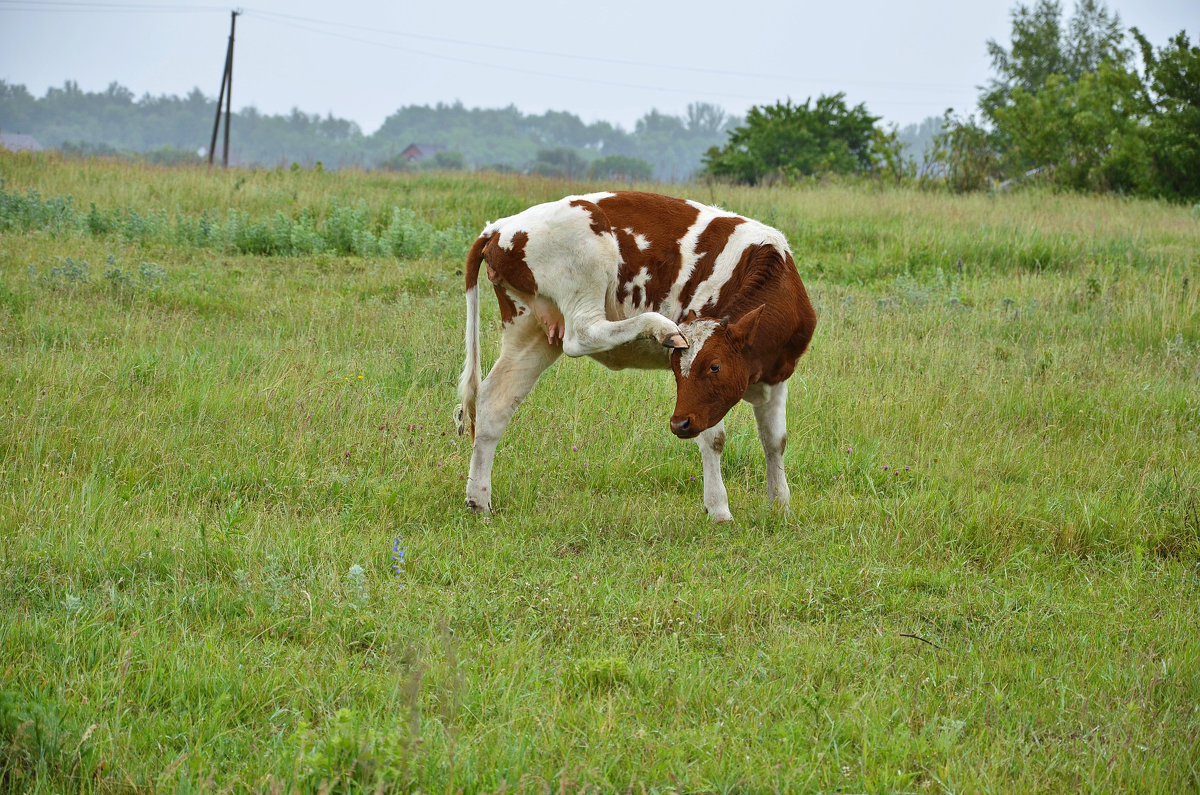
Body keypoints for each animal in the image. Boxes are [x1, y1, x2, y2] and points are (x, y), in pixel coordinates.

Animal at [453, 192, 820, 523]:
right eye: (676, 369)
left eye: (715, 366)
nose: (678, 424)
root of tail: (500, 226)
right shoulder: (700, 403)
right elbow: (714, 439)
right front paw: (719, 510)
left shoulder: (777, 374)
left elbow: (775, 441)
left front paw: (780, 506)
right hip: (585, 268)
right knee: (583, 333)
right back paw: (661, 327)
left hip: (531, 329)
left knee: (494, 402)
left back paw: (479, 501)